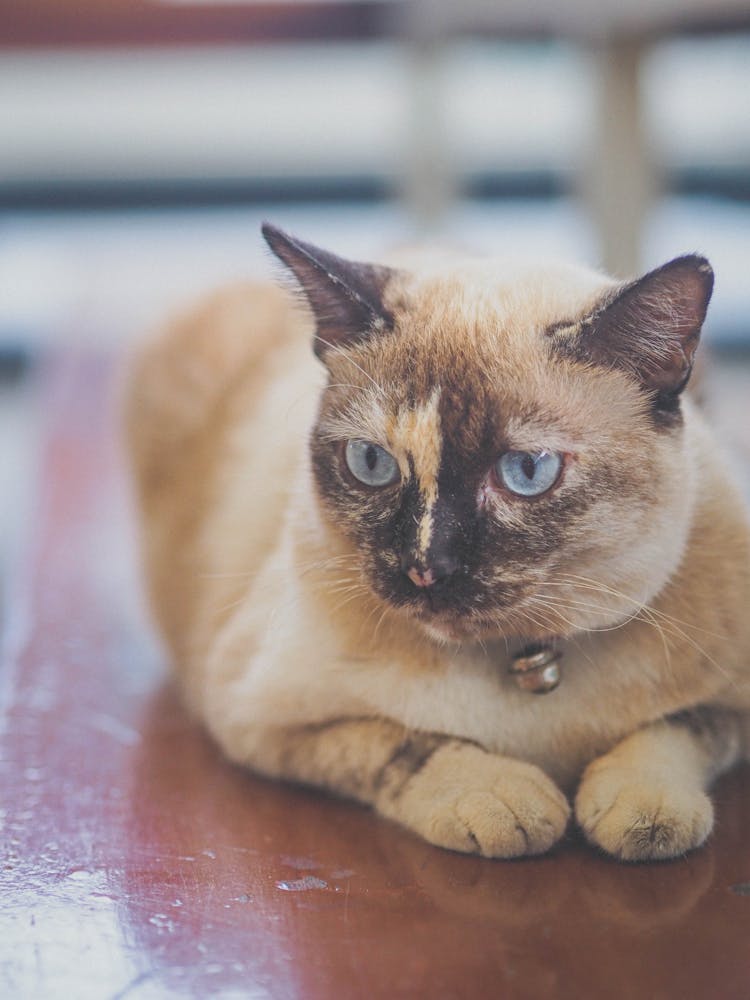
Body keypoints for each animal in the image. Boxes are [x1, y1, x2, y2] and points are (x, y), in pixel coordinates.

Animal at [126, 225, 750, 860]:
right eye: (371, 463)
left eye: (527, 471)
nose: (425, 567)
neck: (524, 666)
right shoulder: (258, 718)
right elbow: (408, 743)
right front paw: (503, 804)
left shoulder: (732, 708)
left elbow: (675, 732)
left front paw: (646, 817)